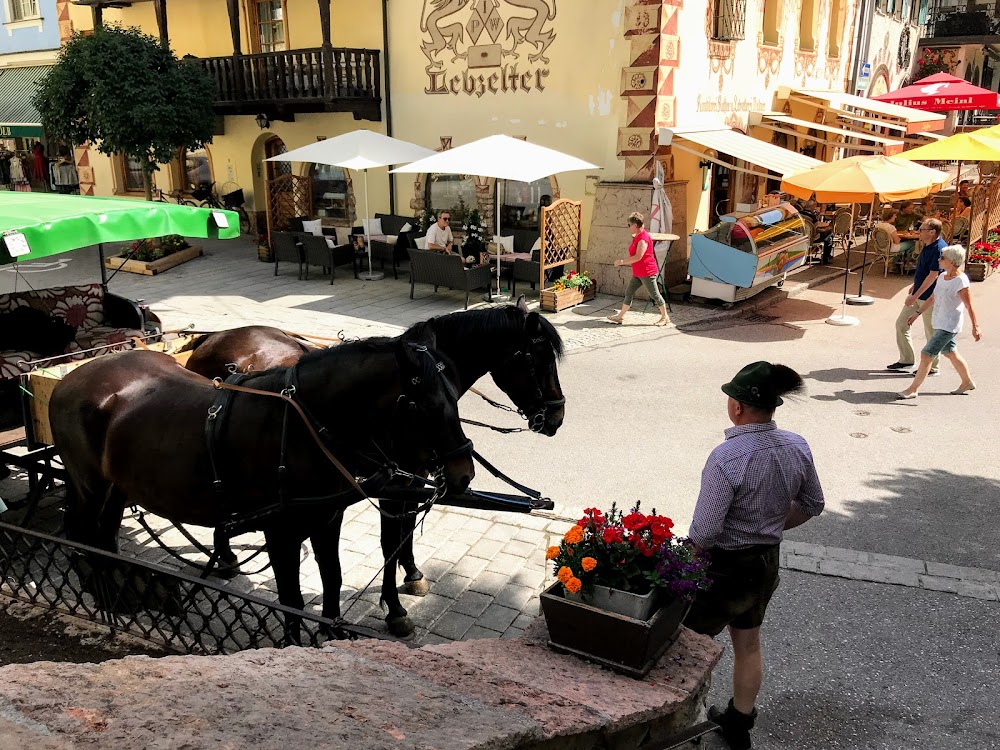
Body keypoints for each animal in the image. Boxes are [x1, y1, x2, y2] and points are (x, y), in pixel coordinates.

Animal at [51, 328, 476, 636]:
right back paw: (106, 598)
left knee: (104, 535)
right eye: (426, 405)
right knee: (83, 532)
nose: (464, 473)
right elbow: (291, 600)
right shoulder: (281, 532)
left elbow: (333, 579)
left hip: (116, 485)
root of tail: (68, 381)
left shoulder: (326, 519)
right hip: (90, 485)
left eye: (455, 396)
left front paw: (335, 634)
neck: (303, 427)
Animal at [185, 298, 568, 636]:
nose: (557, 418)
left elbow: (406, 530)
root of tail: (211, 338)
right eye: (540, 359)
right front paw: (395, 609)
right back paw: (226, 554)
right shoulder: (391, 483)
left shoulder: (414, 476)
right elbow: (389, 541)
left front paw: (412, 574)